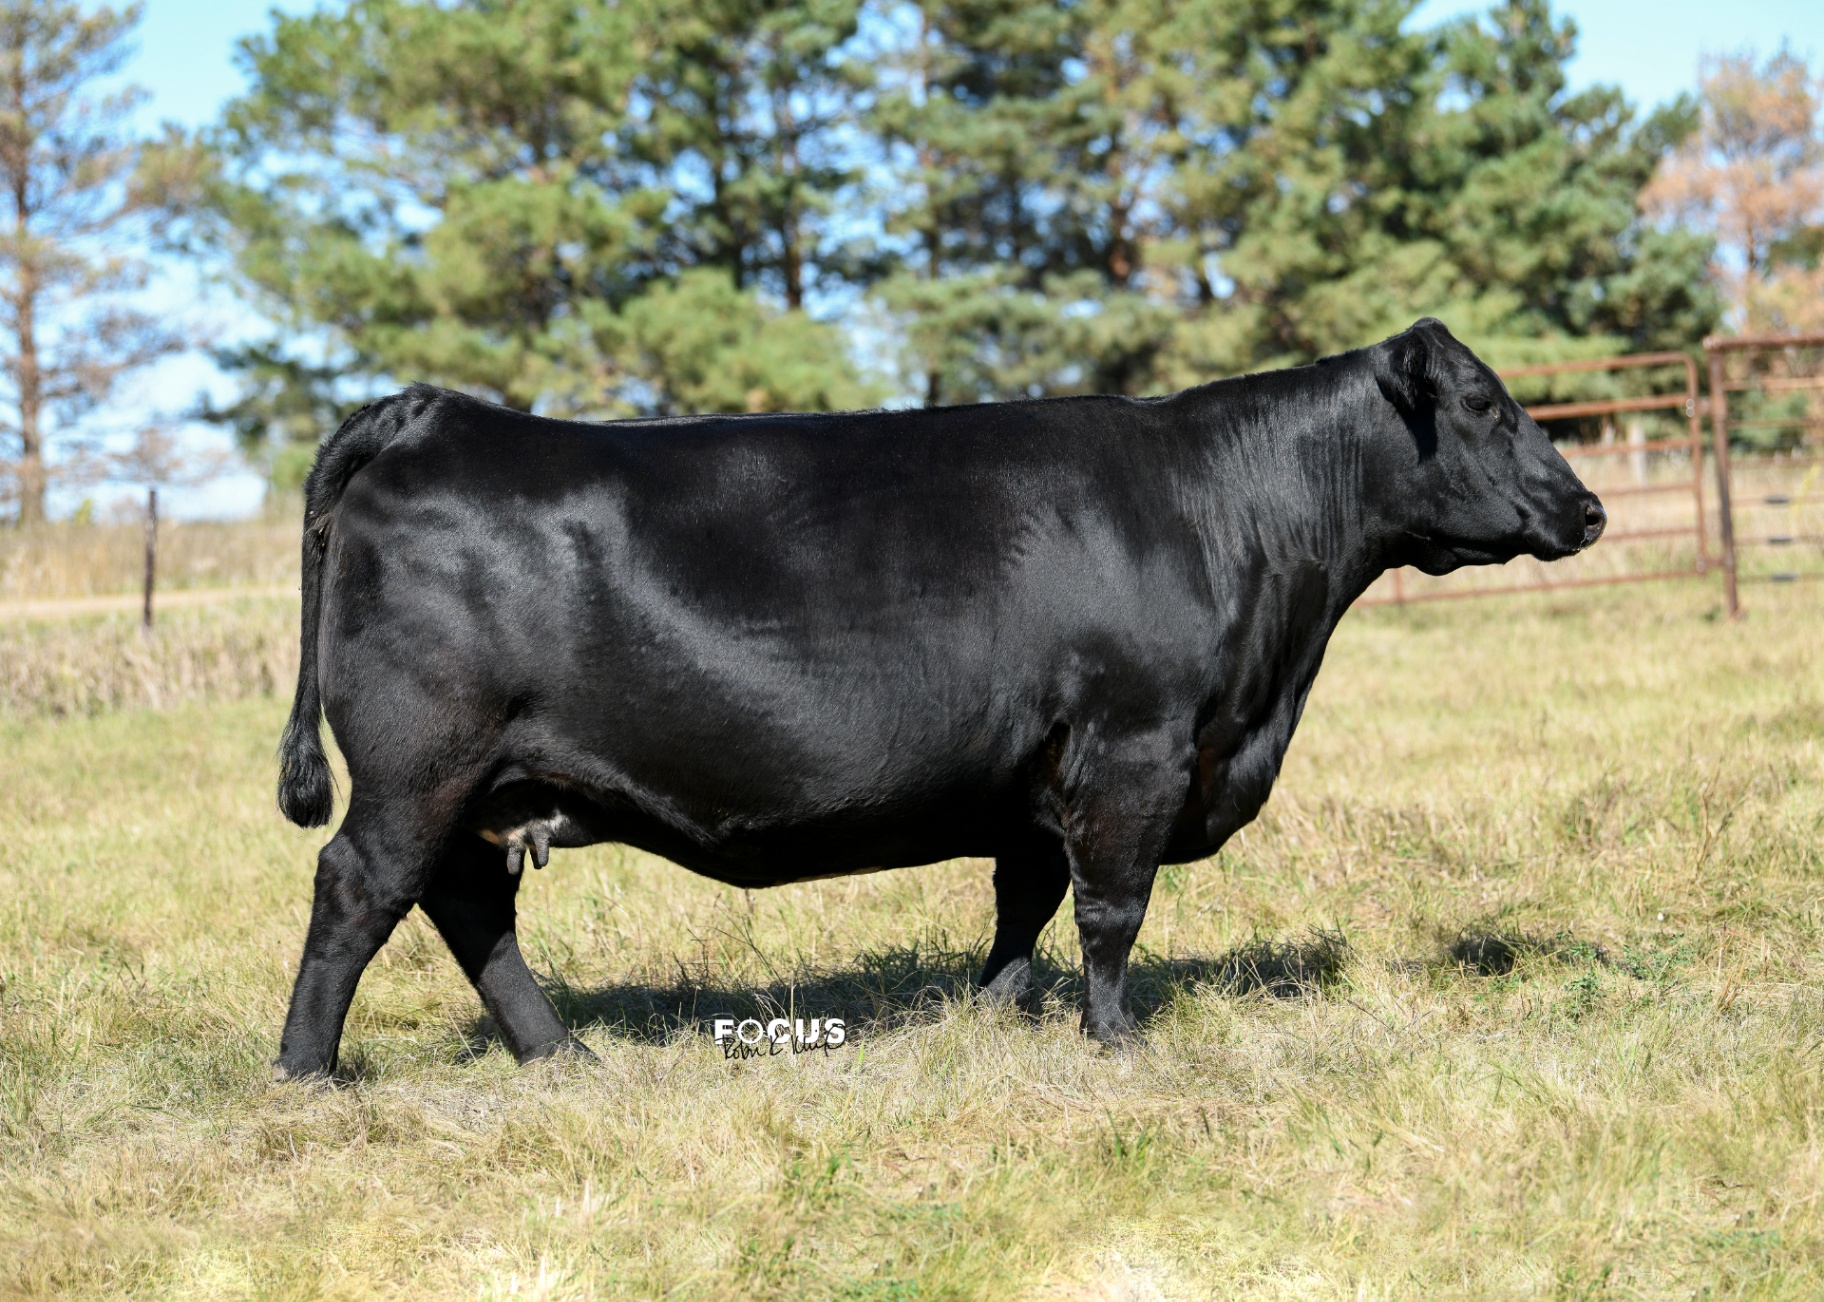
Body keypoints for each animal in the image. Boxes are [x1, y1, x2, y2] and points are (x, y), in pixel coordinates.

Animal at [270, 317, 1604, 1079]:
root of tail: (436, 414)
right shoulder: (1135, 747)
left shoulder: (1040, 776)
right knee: (361, 891)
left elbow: (1027, 900)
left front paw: (995, 1013)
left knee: (466, 908)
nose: (1588, 509)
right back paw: (306, 1074)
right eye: (1487, 406)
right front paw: (1114, 1039)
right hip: (418, 765)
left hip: (481, 782)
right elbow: (1112, 907)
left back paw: (562, 1055)